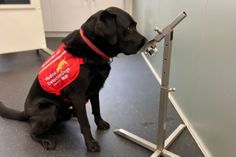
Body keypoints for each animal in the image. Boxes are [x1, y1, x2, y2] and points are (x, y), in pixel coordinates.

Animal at [0, 6, 146, 151]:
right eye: (129, 28)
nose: (145, 41)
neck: (91, 49)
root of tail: (25, 113)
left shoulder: (95, 90)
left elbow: (97, 109)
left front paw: (100, 124)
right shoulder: (78, 96)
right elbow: (85, 123)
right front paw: (90, 144)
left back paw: (72, 115)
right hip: (50, 110)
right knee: (32, 133)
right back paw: (46, 140)